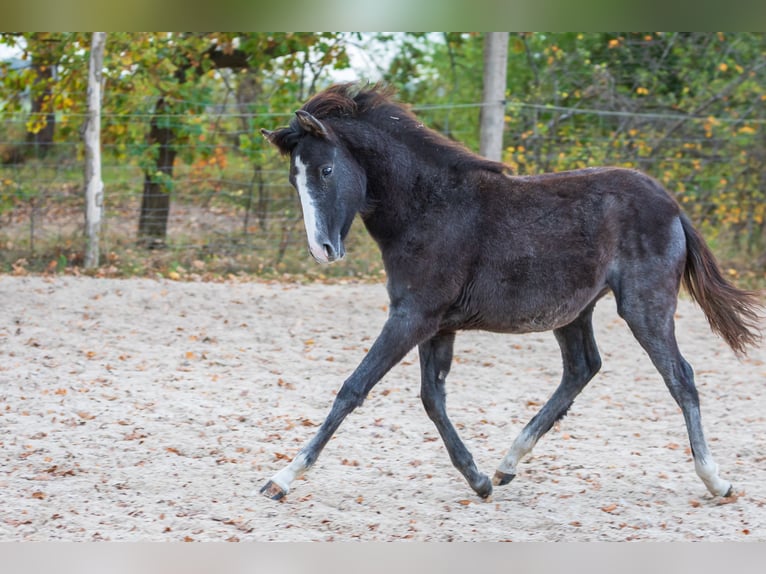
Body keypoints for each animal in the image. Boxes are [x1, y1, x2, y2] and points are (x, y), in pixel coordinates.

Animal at [259, 82, 762, 501]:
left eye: (326, 170)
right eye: (294, 179)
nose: (322, 250)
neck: (428, 208)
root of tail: (672, 205)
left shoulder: (411, 316)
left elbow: (354, 387)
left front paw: (283, 477)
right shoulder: (434, 324)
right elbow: (431, 398)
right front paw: (478, 479)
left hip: (645, 307)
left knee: (680, 377)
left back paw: (715, 480)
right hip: (574, 313)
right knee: (582, 368)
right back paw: (506, 464)